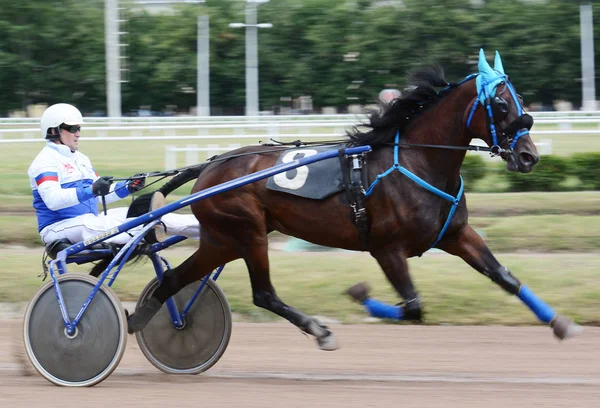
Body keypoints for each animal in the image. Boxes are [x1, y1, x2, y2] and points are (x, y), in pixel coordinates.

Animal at [125, 49, 580, 350]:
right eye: (501, 103)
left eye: (520, 100)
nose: (529, 156)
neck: (417, 160)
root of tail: (209, 168)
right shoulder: (386, 248)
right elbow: (413, 307)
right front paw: (360, 295)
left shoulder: (455, 234)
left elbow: (505, 277)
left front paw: (560, 323)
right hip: (247, 233)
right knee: (263, 294)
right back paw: (319, 331)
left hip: (222, 239)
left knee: (173, 280)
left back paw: (145, 321)